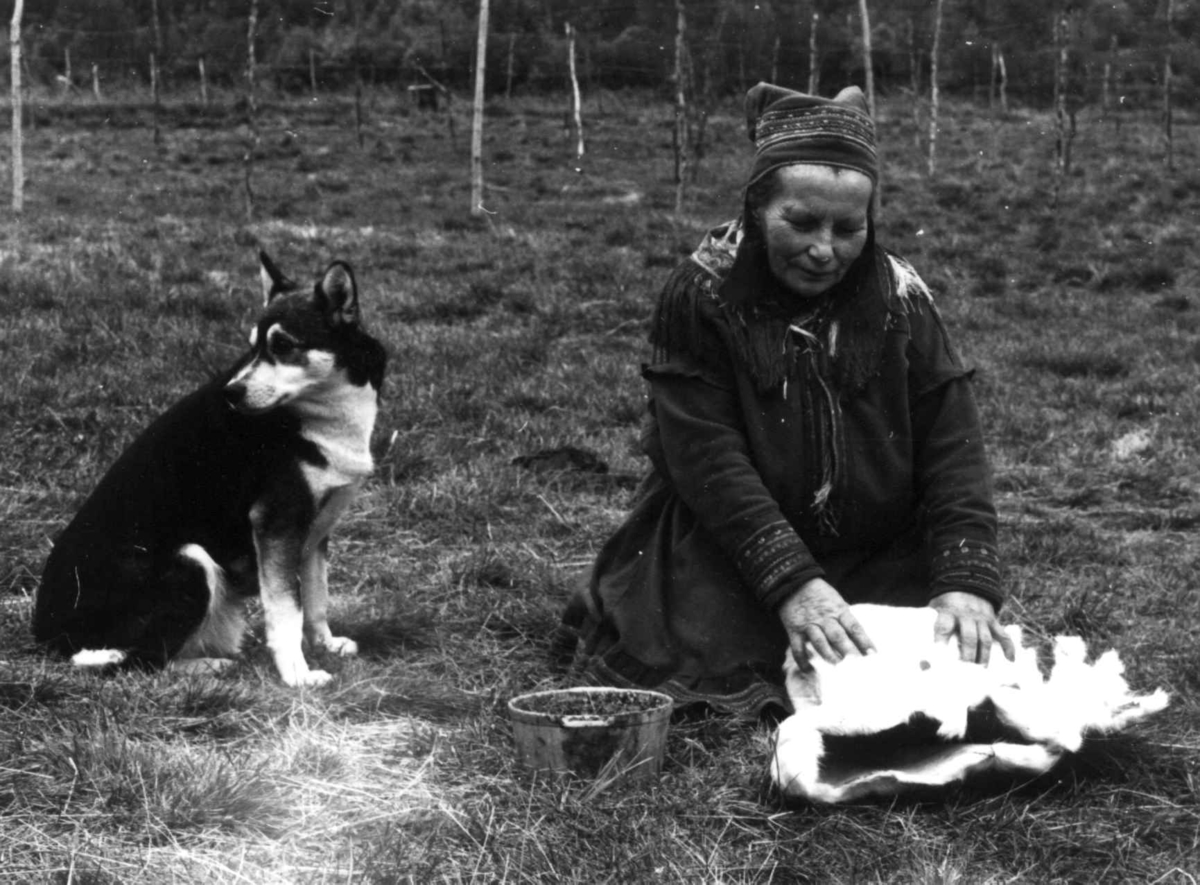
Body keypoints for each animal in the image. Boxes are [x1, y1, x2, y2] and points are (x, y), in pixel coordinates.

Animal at [32, 251, 386, 685]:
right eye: (253, 347)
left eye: (283, 346)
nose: (232, 393)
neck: (322, 410)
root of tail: (51, 636)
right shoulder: (277, 523)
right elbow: (287, 610)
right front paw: (298, 676)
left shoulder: (316, 531)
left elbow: (316, 598)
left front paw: (326, 644)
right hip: (190, 562)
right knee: (144, 660)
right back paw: (210, 665)